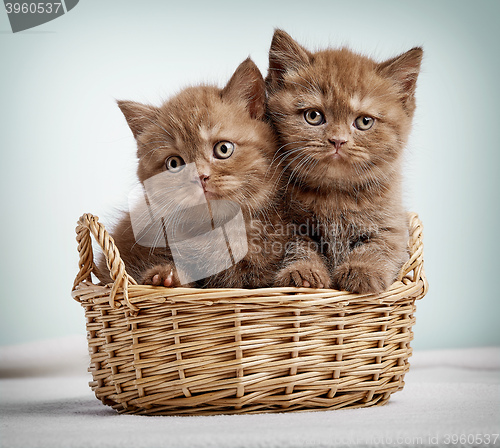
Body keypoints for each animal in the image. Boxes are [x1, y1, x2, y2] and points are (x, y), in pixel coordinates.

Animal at [266, 28, 422, 294]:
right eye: (313, 116)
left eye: (364, 121)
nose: (338, 140)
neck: (335, 195)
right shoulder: (288, 225)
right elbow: (298, 246)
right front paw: (304, 272)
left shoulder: (394, 225)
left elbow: (380, 246)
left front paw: (363, 270)